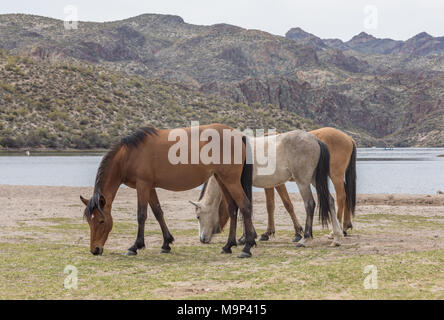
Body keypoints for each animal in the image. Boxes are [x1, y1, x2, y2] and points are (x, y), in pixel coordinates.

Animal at [78, 123, 255, 258]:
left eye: (101, 221)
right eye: (89, 221)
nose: (95, 250)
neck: (128, 155)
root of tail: (238, 135)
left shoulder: (142, 186)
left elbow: (141, 215)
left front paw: (135, 246)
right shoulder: (150, 187)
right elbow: (158, 212)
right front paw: (166, 243)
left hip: (231, 181)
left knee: (245, 206)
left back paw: (247, 248)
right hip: (222, 180)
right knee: (233, 209)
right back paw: (228, 246)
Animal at [190, 129, 344, 248]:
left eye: (198, 216)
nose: (202, 239)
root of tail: (315, 139)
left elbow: (243, 208)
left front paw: (246, 238)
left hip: (303, 182)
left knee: (310, 204)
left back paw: (305, 239)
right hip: (314, 180)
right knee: (330, 200)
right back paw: (336, 237)